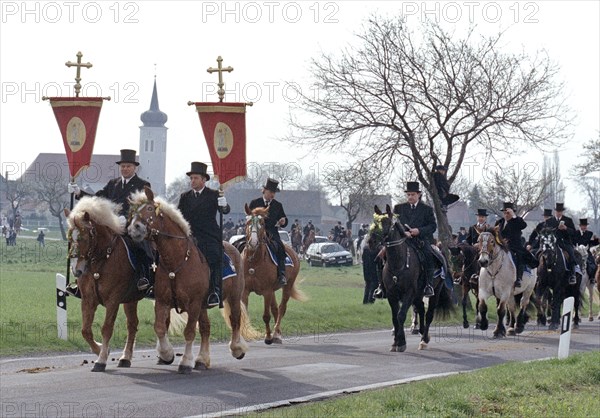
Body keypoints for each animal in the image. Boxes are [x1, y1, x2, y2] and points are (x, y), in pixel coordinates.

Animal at [65, 196, 145, 372]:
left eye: (83, 238)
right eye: (70, 238)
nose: (76, 271)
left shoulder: (113, 301)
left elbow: (107, 328)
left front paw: (101, 360)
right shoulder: (88, 299)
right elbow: (85, 331)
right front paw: (102, 350)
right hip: (131, 300)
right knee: (132, 324)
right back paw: (125, 358)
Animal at [126, 188, 258, 374]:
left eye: (150, 209)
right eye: (134, 212)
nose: (134, 228)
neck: (177, 260)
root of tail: (233, 247)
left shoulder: (194, 303)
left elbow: (189, 332)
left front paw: (186, 362)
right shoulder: (163, 301)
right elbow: (160, 327)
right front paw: (166, 354)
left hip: (233, 297)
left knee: (235, 320)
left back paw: (236, 349)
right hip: (203, 306)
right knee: (205, 328)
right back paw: (202, 359)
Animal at [241, 204, 304, 344]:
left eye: (262, 223)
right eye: (247, 222)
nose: (253, 242)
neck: (254, 261)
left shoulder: (267, 291)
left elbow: (266, 315)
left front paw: (268, 337)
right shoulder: (245, 291)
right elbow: (244, 314)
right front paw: (244, 336)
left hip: (287, 286)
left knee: (281, 308)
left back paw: (275, 334)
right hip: (273, 290)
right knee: (275, 309)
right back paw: (278, 334)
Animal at [378, 204, 452, 352]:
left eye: (388, 222)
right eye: (376, 222)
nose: (373, 238)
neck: (398, 263)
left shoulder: (408, 293)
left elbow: (400, 315)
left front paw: (401, 343)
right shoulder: (391, 294)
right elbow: (395, 317)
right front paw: (395, 343)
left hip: (435, 291)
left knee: (429, 314)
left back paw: (424, 340)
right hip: (418, 294)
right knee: (421, 309)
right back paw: (423, 333)